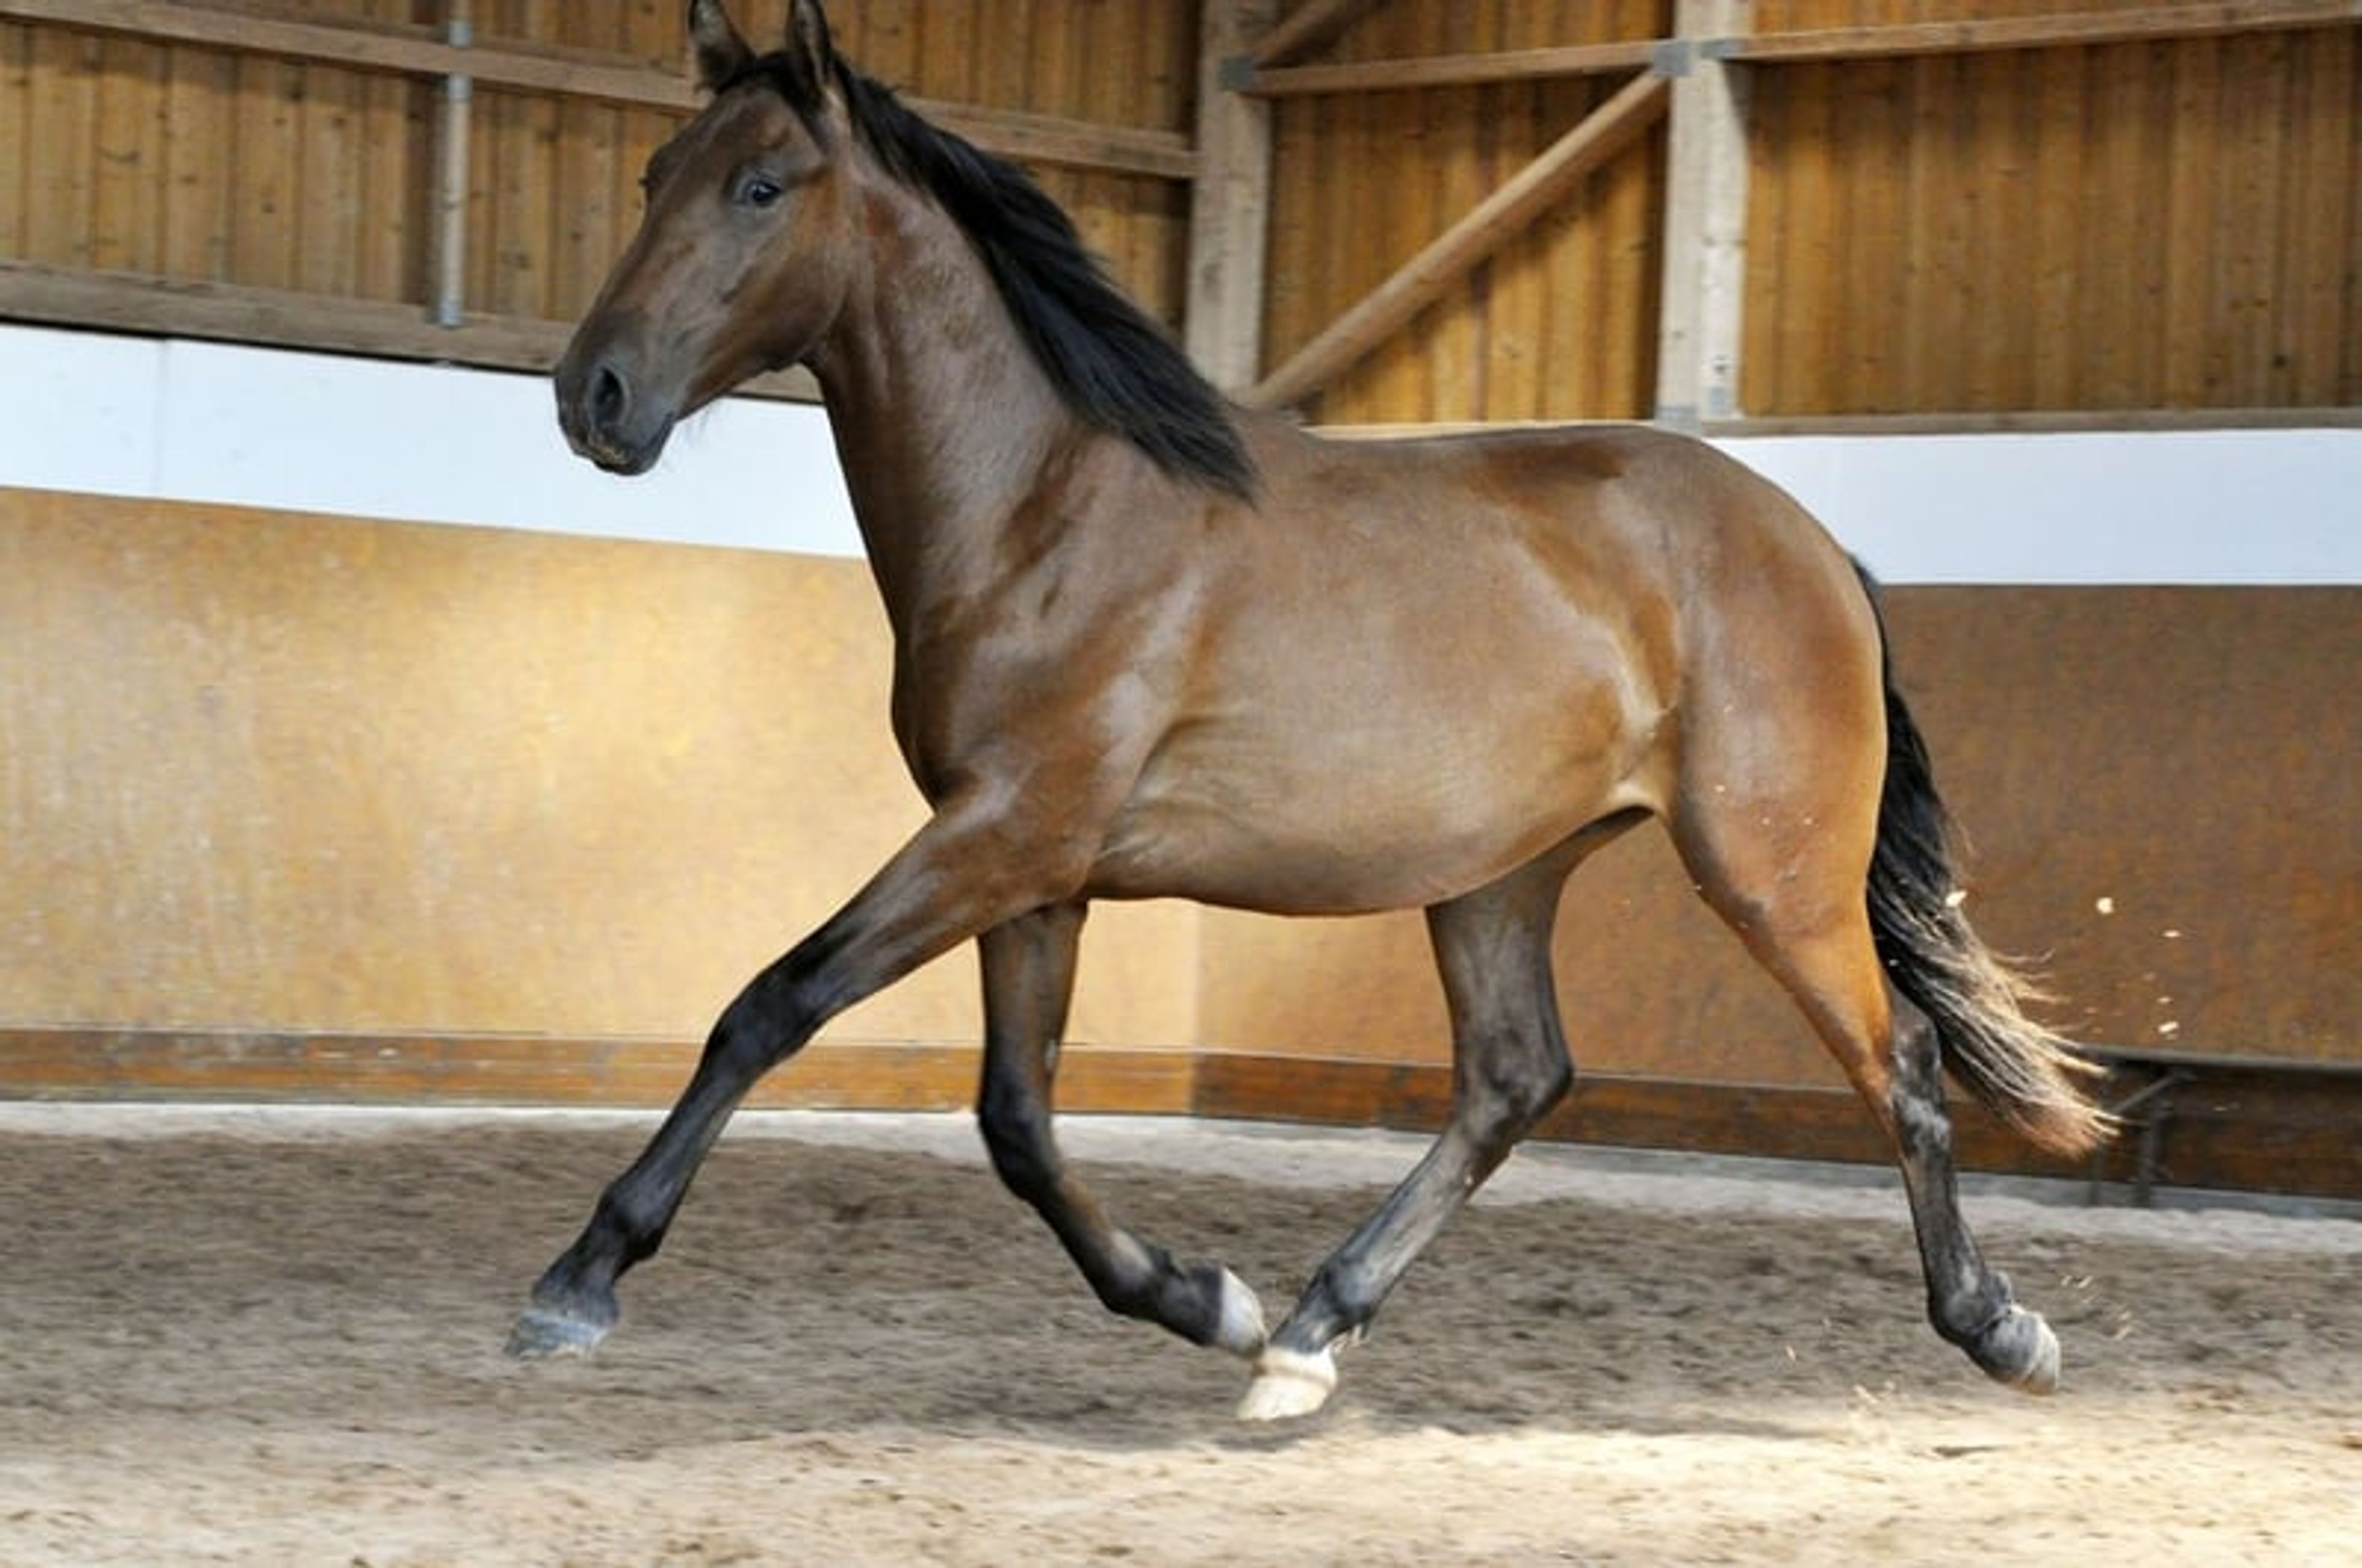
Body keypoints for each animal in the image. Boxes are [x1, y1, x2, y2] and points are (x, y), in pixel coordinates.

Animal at [509, 0, 2111, 1421]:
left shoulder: (1002, 837)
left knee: (1899, 1066)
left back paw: (2002, 1328)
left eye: (761, 185)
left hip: (1770, 870)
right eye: (656, 174)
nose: (594, 395)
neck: (1045, 507)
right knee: (1513, 1079)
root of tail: (1814, 546)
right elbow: (1016, 1120)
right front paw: (1204, 1301)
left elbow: (769, 1006)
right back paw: (1304, 1335)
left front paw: (577, 1281)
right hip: (1499, 876)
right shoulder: (1034, 872)